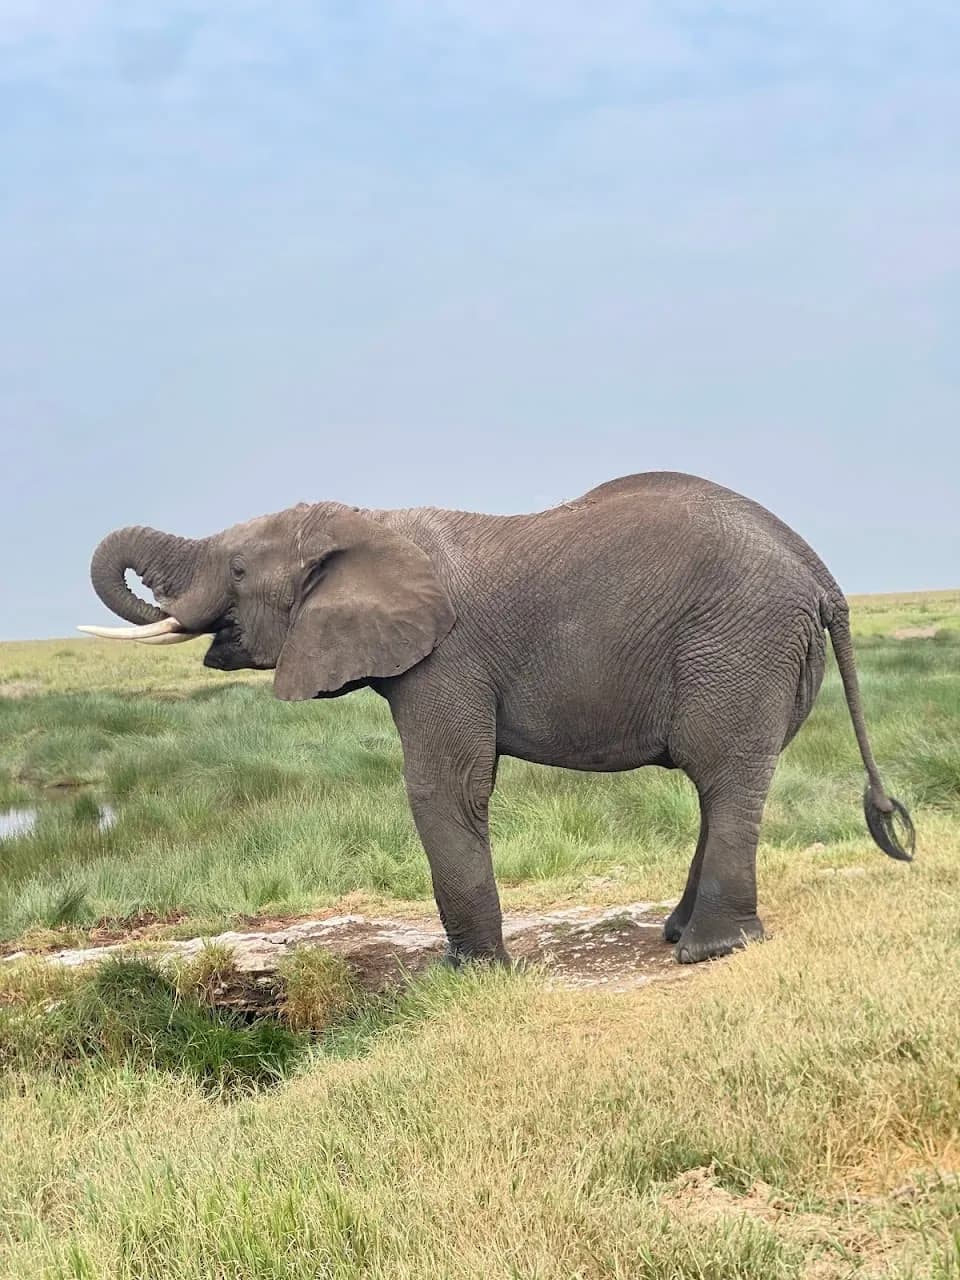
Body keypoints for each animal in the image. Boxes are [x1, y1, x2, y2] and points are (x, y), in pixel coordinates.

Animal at [80, 471, 914, 965]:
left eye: (240, 569)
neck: (371, 519)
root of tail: (819, 571)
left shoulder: (445, 658)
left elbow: (443, 787)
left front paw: (466, 973)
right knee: (723, 782)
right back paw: (681, 935)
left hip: (738, 642)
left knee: (724, 776)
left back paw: (708, 951)